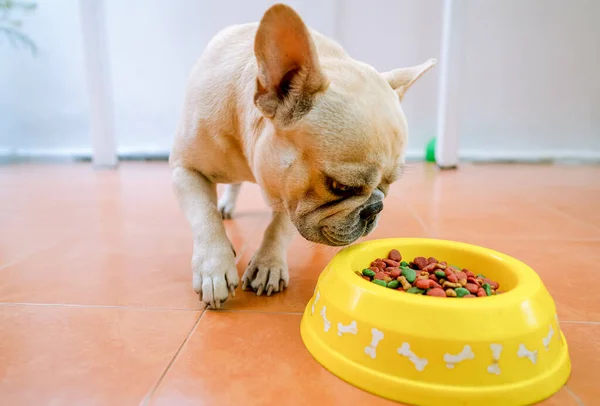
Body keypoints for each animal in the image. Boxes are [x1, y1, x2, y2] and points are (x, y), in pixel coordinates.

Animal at [169, 3, 436, 310]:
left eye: (389, 185)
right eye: (340, 186)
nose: (375, 208)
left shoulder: (292, 193)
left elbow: (279, 226)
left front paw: (268, 263)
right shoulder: (184, 170)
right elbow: (204, 216)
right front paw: (214, 267)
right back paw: (226, 206)